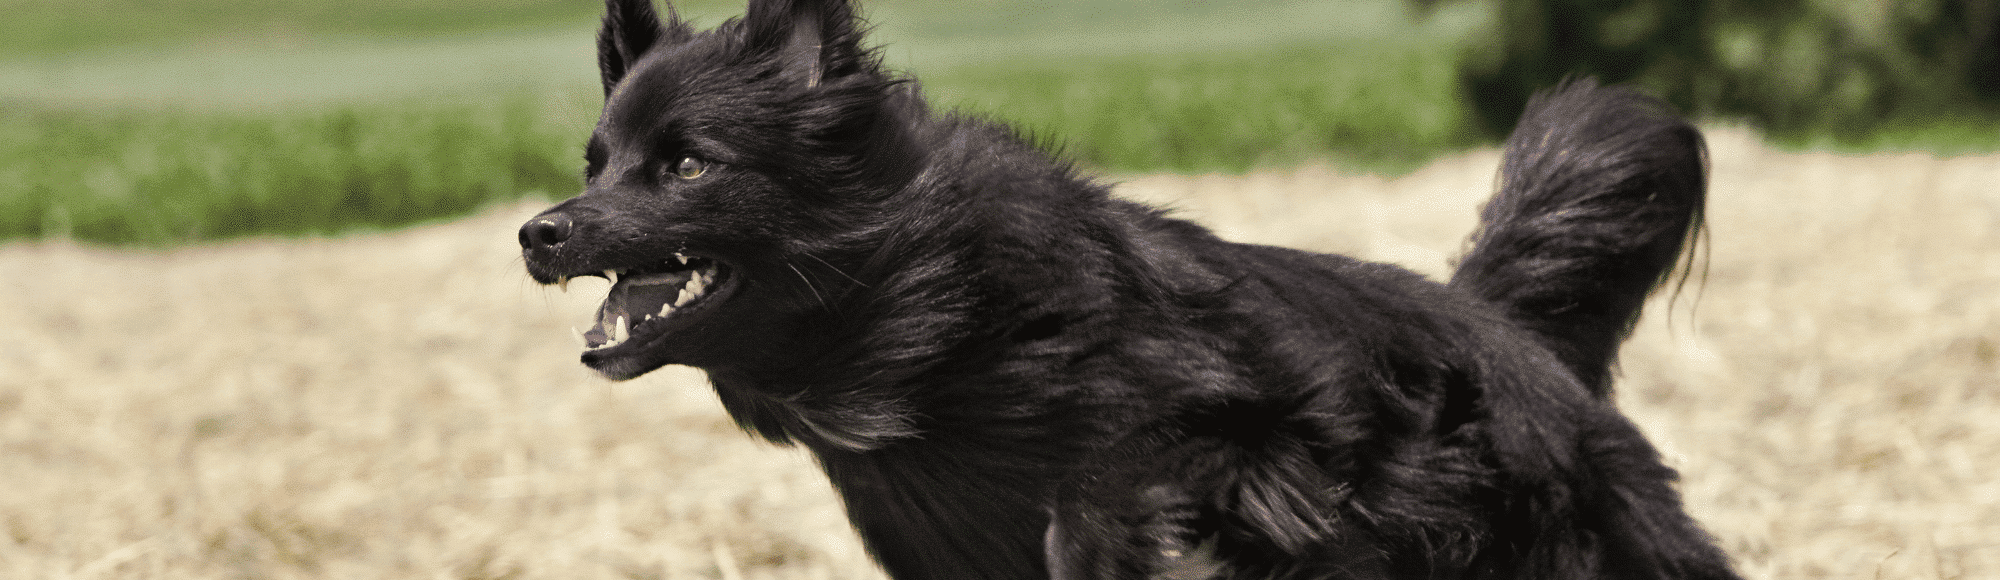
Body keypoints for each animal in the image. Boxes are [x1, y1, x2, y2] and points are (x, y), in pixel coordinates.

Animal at [524, 2, 1744, 576]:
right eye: (598, 161)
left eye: (688, 164)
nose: (539, 234)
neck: (922, 308)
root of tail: (1499, 323)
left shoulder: (1259, 428)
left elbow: (1106, 490)